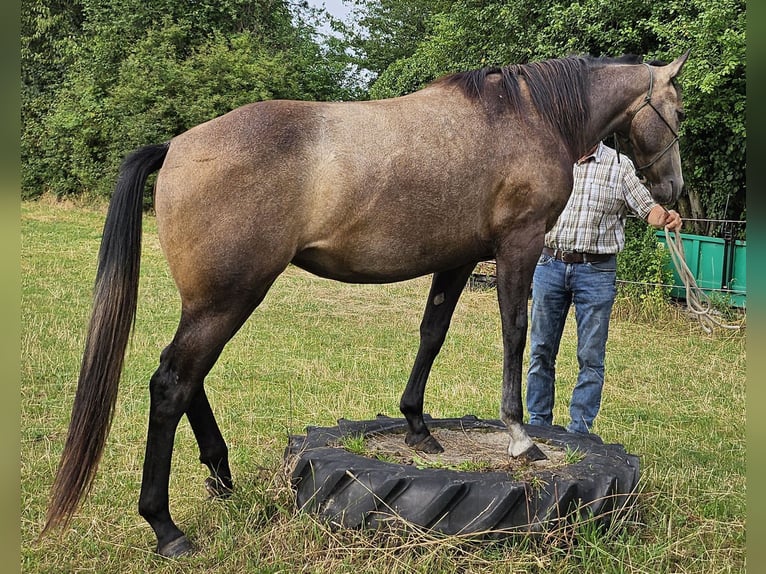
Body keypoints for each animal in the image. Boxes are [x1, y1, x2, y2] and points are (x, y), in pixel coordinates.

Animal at [42, 51, 688, 556]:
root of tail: (176, 146)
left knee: (186, 378)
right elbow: (514, 332)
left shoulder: (457, 260)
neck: (528, 115)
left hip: (210, 301)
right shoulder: (519, 248)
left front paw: (418, 427)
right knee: (172, 383)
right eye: (678, 112)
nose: (673, 192)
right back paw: (166, 527)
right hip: (228, 298)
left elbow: (432, 333)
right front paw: (520, 437)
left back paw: (222, 477)